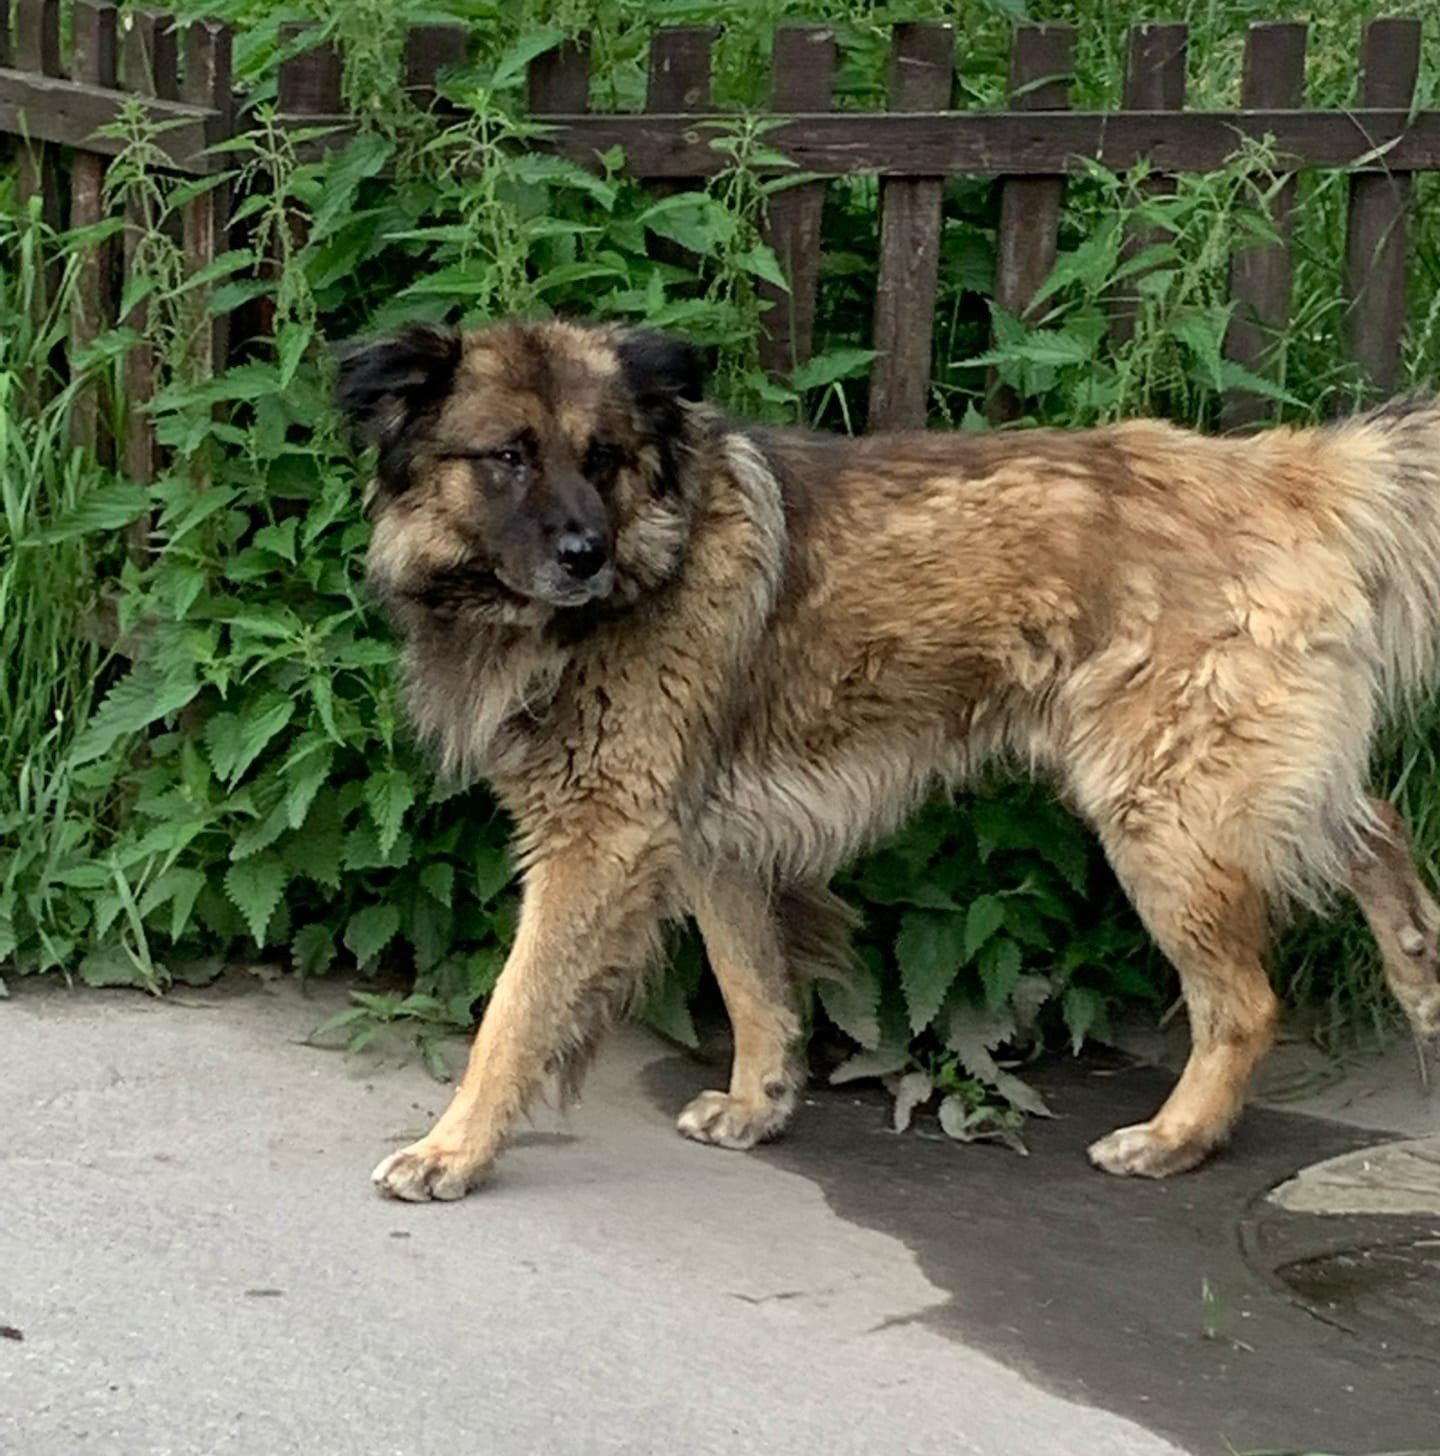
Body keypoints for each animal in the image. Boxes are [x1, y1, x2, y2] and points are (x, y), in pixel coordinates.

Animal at [339, 324, 1438, 1199]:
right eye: (508, 457)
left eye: (601, 456)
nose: (584, 554)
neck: (653, 552)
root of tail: (1286, 471)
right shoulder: (707, 840)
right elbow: (752, 982)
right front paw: (760, 1102)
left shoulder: (599, 839)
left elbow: (515, 1011)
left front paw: (451, 1151)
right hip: (1235, 789)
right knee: (1376, 828)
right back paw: (1422, 972)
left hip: (1163, 813)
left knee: (1246, 1001)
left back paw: (1175, 1138)